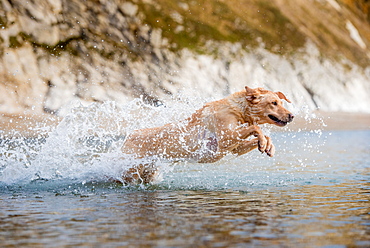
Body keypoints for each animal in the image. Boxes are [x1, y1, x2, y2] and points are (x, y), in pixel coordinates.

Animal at [121, 86, 294, 183]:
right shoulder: (226, 139)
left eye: (281, 102)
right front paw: (263, 142)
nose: (292, 116)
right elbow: (257, 128)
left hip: (149, 172)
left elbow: (261, 134)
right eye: (274, 103)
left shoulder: (233, 148)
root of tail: (128, 136)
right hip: (130, 171)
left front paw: (268, 146)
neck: (239, 111)